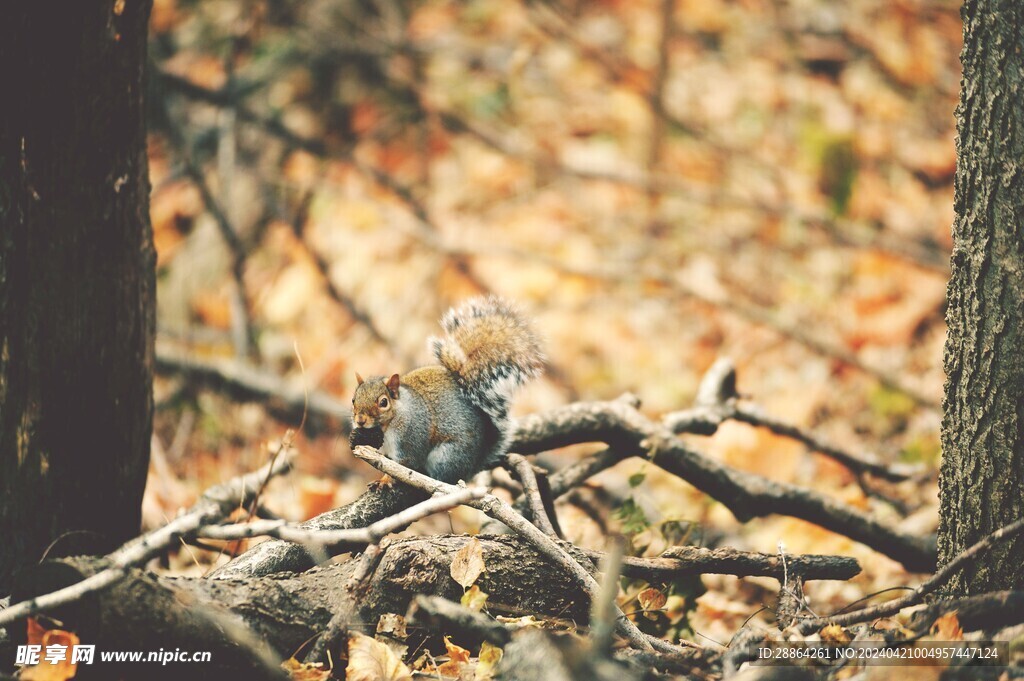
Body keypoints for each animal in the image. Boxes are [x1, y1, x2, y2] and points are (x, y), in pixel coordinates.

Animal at [350, 296, 544, 483]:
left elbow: (403, 465)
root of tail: (474, 464)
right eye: (353, 400)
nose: (360, 420)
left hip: (446, 457)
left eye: (383, 402)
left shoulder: (411, 437)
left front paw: (385, 481)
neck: (389, 423)